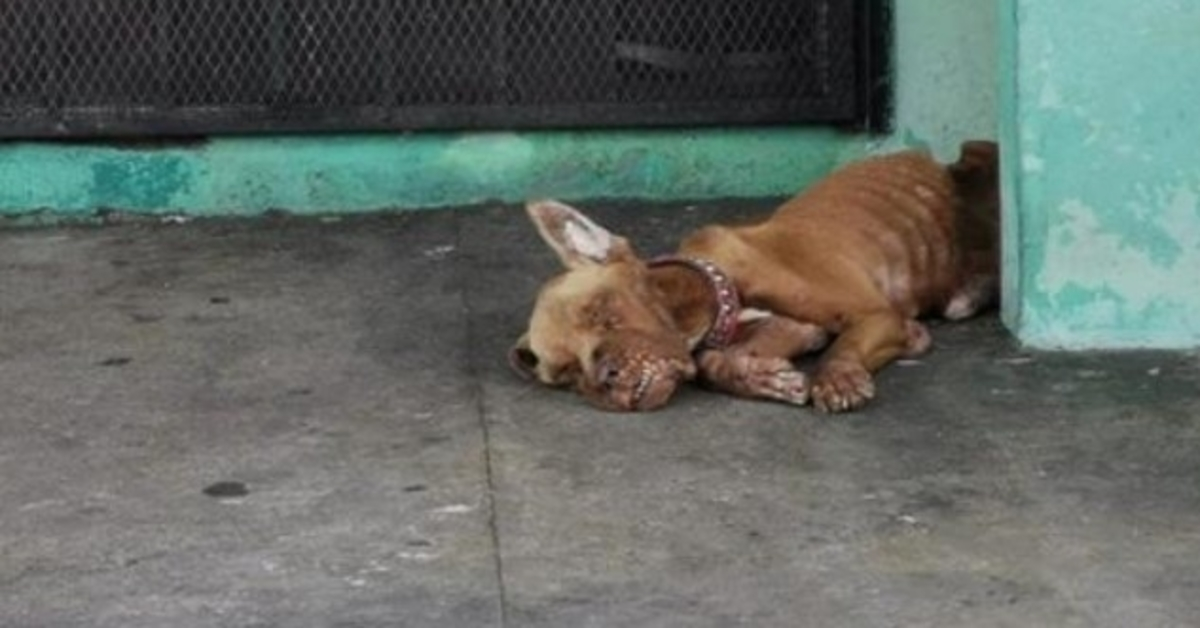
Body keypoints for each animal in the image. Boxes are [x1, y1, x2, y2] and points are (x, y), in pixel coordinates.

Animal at [511, 141, 998, 413]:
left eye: (604, 313)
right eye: (567, 374)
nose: (605, 380)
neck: (716, 290)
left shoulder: (874, 316)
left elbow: (844, 347)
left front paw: (838, 378)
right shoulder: (792, 330)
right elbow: (713, 365)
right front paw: (761, 378)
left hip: (976, 158)